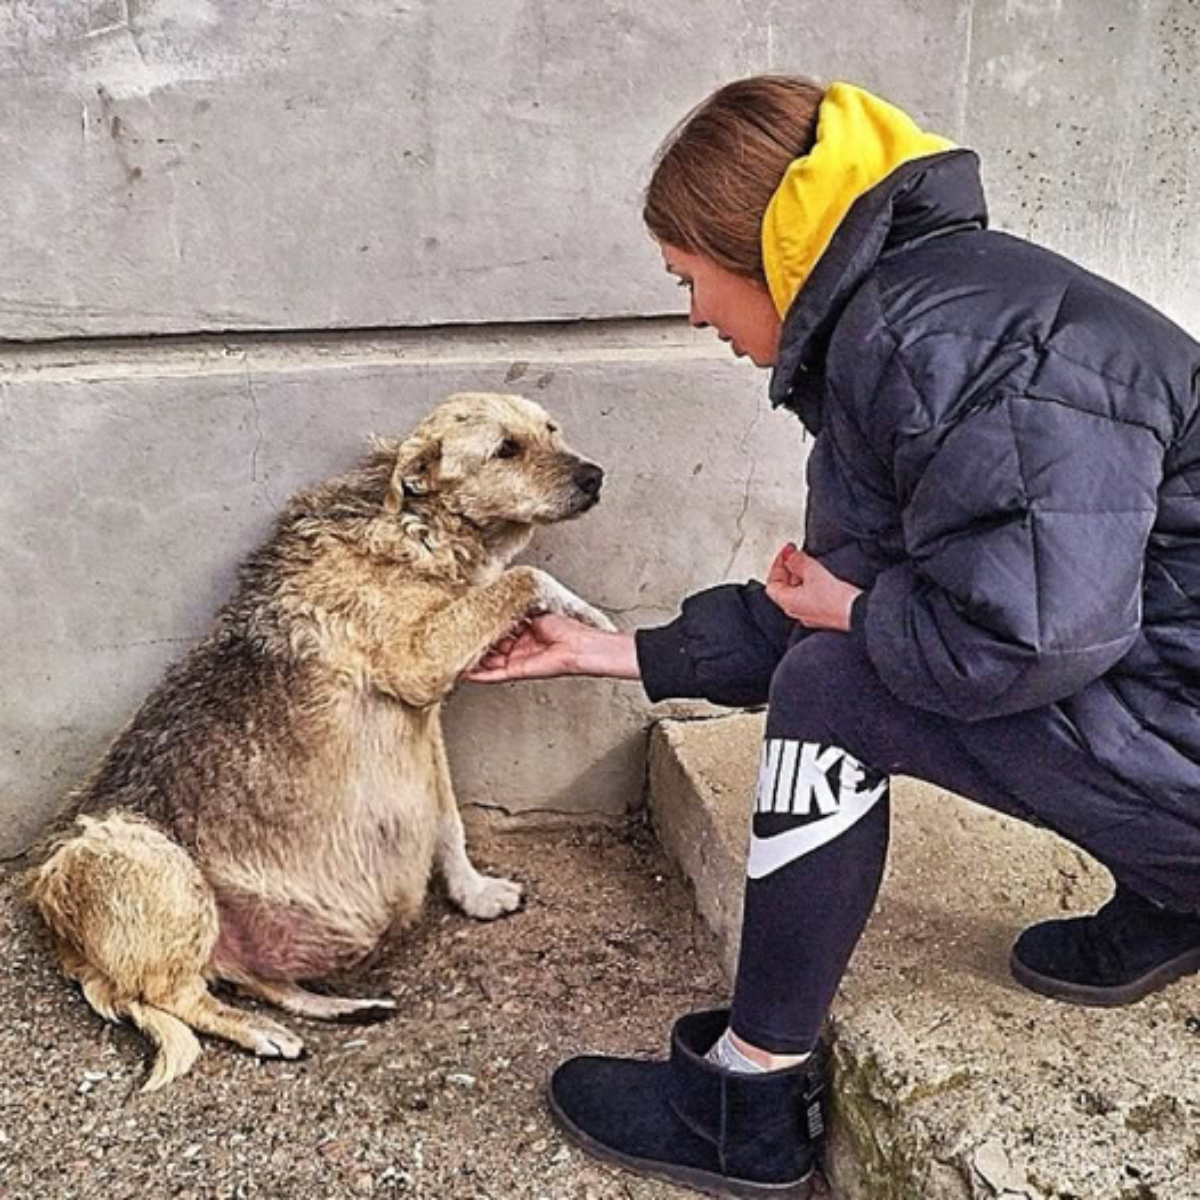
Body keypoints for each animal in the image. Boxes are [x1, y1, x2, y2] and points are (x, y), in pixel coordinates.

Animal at [28, 391, 614, 1089]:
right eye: (506, 449)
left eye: (552, 430)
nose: (595, 476)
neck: (415, 525)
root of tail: (61, 935)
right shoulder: (419, 664)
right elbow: (523, 578)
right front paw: (590, 615)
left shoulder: (426, 723)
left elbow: (448, 821)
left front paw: (473, 892)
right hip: (144, 859)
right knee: (175, 996)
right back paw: (261, 1032)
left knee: (248, 979)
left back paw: (340, 1006)